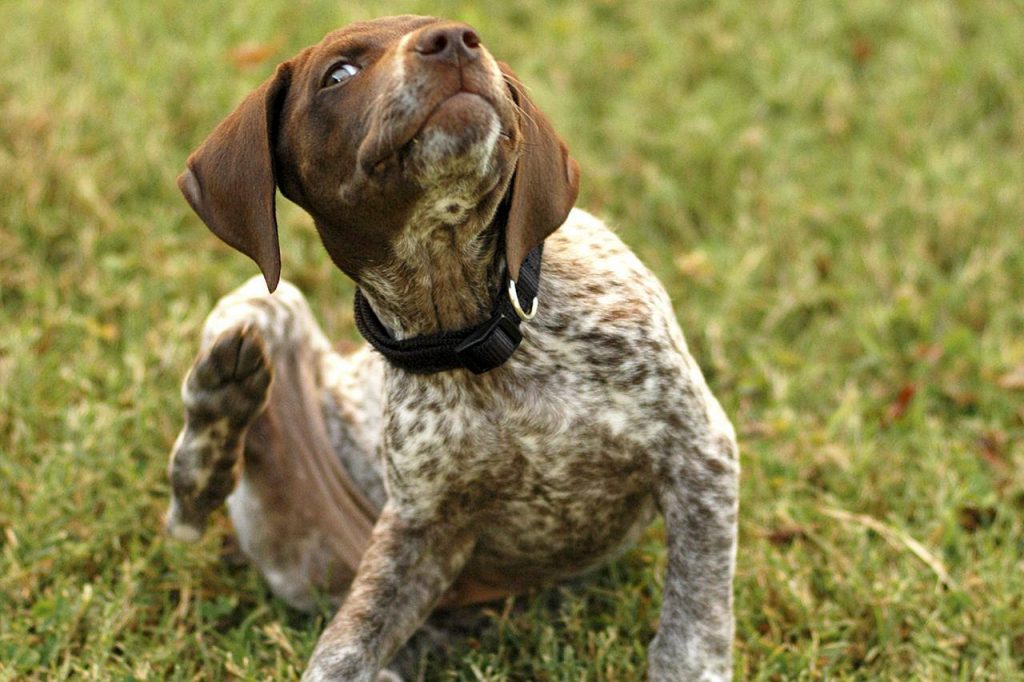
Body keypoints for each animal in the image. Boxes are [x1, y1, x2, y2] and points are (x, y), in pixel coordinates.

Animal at [165, 15, 739, 681]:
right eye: (339, 73)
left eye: (471, 37)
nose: (454, 42)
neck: (478, 329)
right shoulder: (421, 529)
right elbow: (342, 652)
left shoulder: (697, 454)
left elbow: (693, 625)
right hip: (260, 310)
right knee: (186, 509)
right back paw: (221, 407)